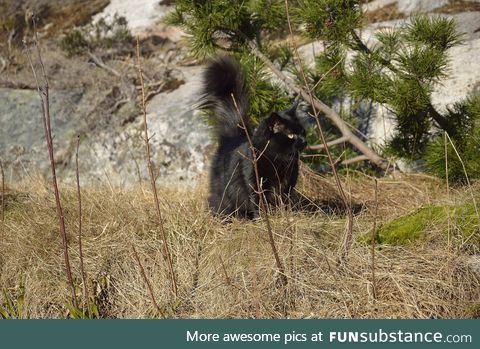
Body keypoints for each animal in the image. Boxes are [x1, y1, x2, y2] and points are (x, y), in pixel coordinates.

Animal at [199, 55, 312, 218]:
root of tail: (233, 136)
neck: (279, 160)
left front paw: (285, 216)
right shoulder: (254, 181)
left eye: (302, 132)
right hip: (223, 195)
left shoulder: (288, 183)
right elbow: (259, 203)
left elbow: (284, 201)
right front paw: (264, 219)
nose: (304, 141)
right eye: (291, 135)